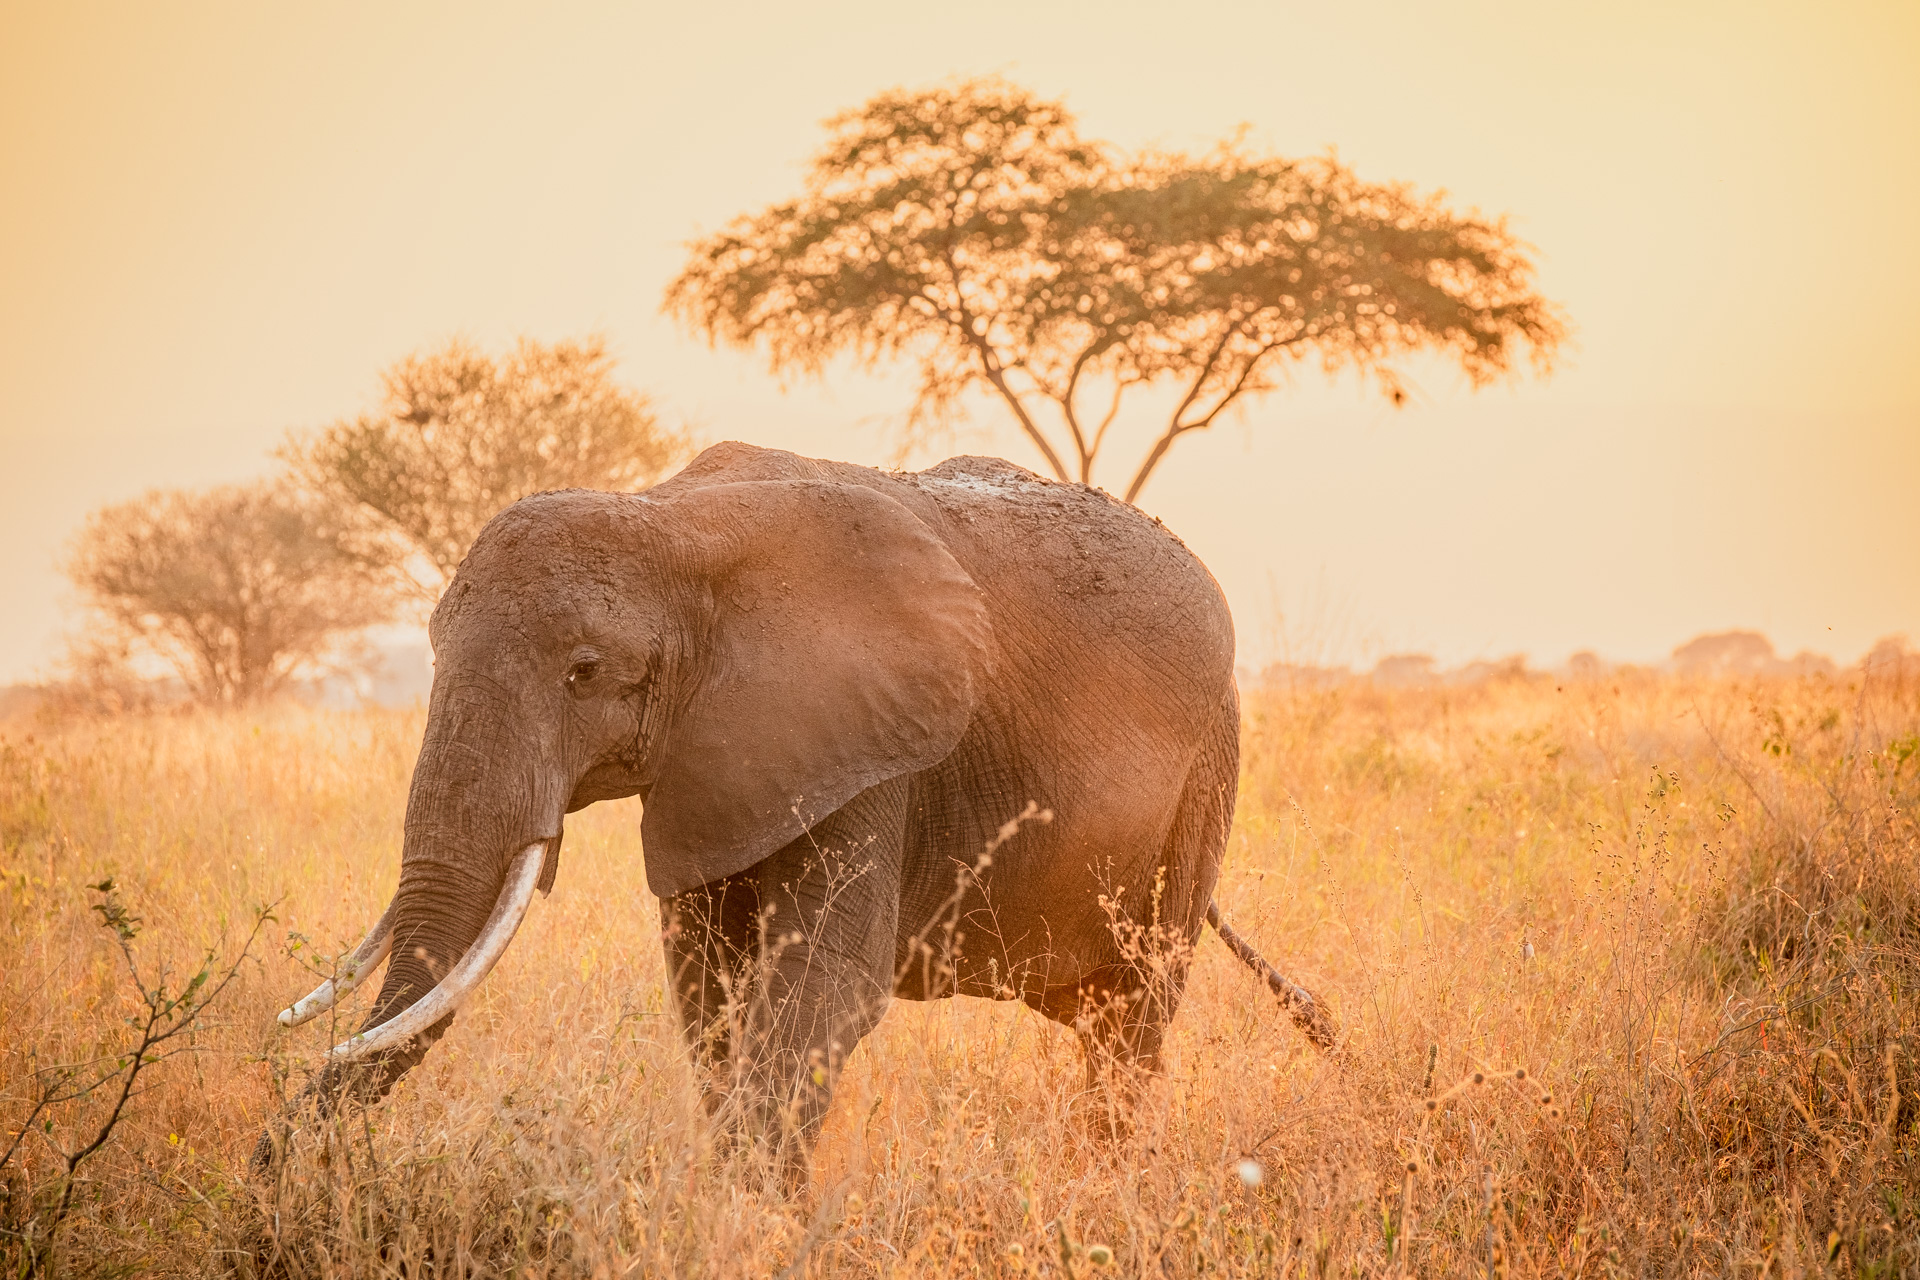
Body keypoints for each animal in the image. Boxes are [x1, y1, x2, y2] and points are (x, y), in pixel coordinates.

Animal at [259, 445, 1336, 1189]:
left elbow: (820, 987)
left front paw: (753, 1220)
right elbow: (709, 989)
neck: (668, 525)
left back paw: (1106, 1191)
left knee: (1133, 1014)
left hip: (1207, 770)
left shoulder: (876, 751)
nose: (268, 1168)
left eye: (585, 672)